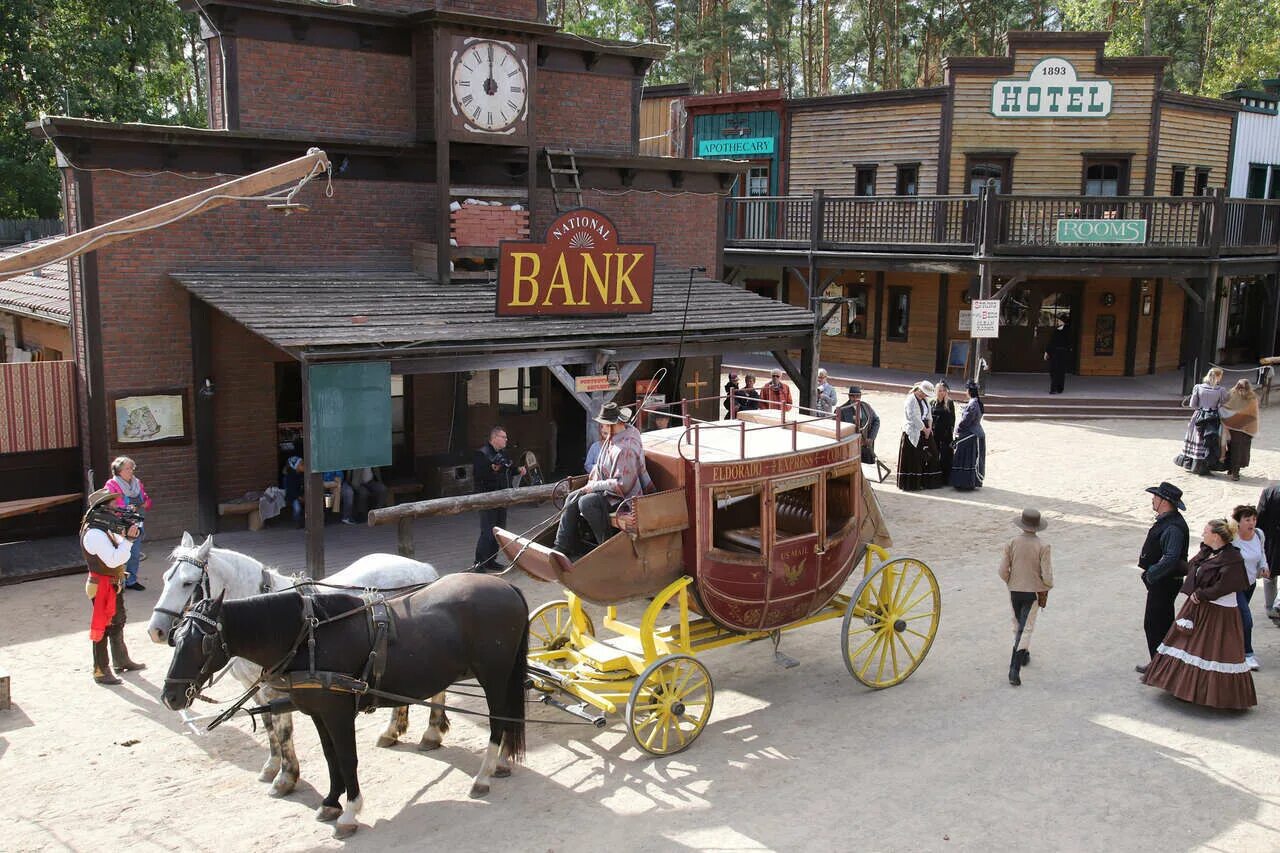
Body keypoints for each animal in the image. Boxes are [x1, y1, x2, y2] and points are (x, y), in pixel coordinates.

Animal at [147, 535, 450, 794]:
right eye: (165, 578)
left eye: (188, 583)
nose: (156, 631)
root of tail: (422, 568)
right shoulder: (256, 686)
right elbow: (268, 725)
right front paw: (272, 766)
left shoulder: (276, 688)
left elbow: (283, 730)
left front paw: (286, 777)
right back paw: (392, 730)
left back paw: (431, 733)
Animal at [161, 568, 529, 835]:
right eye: (177, 638)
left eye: (203, 643)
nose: (170, 696)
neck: (309, 638)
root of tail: (507, 587)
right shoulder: (318, 713)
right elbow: (330, 757)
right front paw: (330, 802)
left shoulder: (338, 713)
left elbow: (348, 757)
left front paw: (350, 811)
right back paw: (499, 763)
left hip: (494, 676)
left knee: (498, 722)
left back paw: (482, 776)